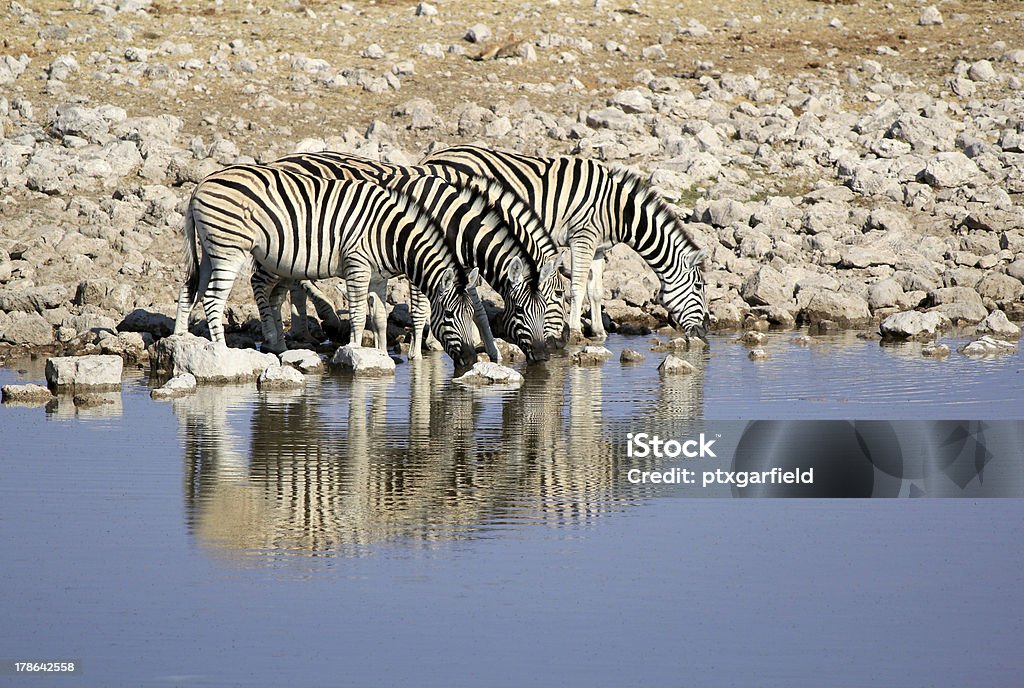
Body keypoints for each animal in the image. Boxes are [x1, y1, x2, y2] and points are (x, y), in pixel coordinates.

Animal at [172, 164, 483, 370]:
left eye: (471, 316)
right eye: (449, 316)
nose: (470, 360)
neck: (389, 235)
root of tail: (200, 184)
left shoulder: (378, 277)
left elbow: (380, 317)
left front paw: (382, 355)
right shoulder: (357, 265)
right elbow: (358, 315)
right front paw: (356, 351)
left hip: (211, 251)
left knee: (190, 288)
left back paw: (181, 337)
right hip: (229, 249)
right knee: (213, 298)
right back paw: (222, 353)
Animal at [258, 153, 569, 362]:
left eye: (549, 303)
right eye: (559, 295)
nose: (549, 352)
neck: (455, 220)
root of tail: (280, 161)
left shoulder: (461, 270)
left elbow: (478, 310)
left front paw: (493, 352)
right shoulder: (422, 261)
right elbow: (421, 311)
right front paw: (418, 355)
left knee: (290, 288)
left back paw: (298, 336)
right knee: (262, 283)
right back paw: (278, 339)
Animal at [419, 144, 708, 344]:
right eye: (699, 286)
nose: (706, 330)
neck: (618, 211)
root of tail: (429, 159)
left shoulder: (599, 248)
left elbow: (596, 290)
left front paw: (599, 332)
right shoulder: (583, 236)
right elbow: (577, 287)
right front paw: (576, 332)